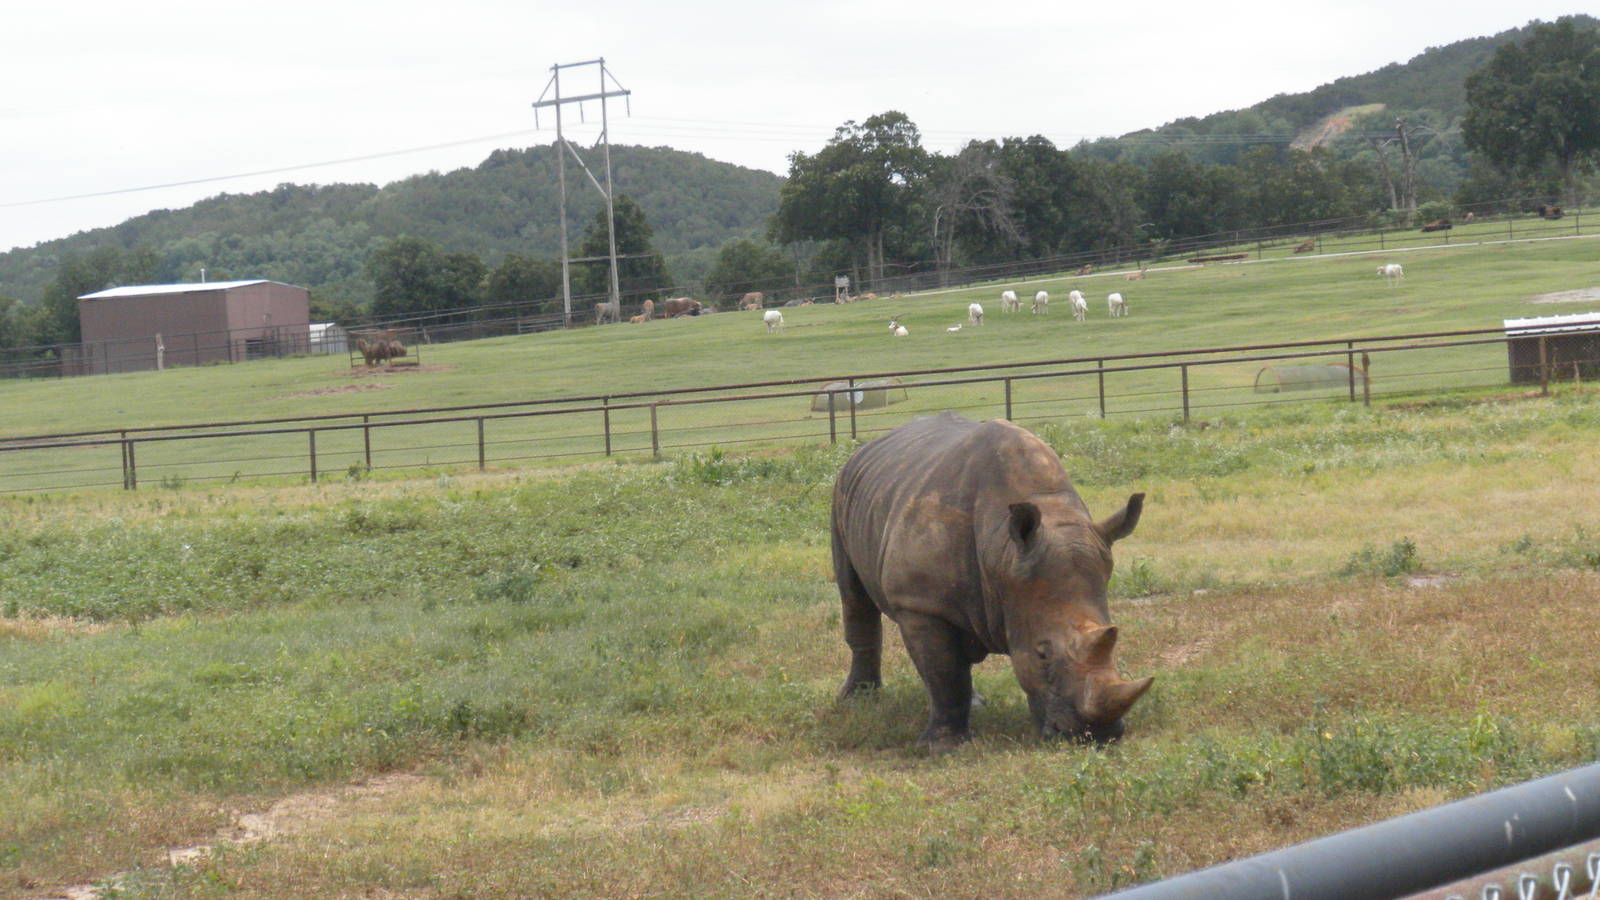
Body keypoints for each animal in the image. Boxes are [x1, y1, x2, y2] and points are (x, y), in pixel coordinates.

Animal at [831, 412, 1152, 749]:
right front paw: (941, 748)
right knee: (854, 598)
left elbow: (949, 669)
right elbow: (944, 673)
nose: (1097, 736)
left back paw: (976, 704)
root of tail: (865, 449)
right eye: (1042, 654)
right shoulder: (919, 603)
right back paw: (857, 701)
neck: (1003, 556)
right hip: (842, 494)